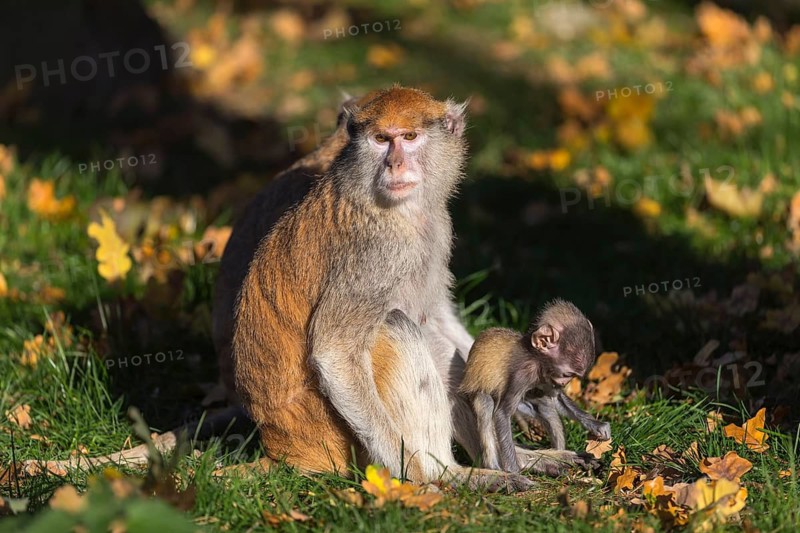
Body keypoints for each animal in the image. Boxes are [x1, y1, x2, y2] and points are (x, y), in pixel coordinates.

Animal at [459, 299, 611, 473]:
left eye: (571, 377)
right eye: (567, 374)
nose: (564, 383)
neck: (534, 357)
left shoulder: (545, 376)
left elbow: (557, 398)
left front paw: (596, 425)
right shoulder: (522, 374)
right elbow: (502, 414)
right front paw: (512, 470)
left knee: (546, 407)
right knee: (486, 402)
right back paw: (493, 467)